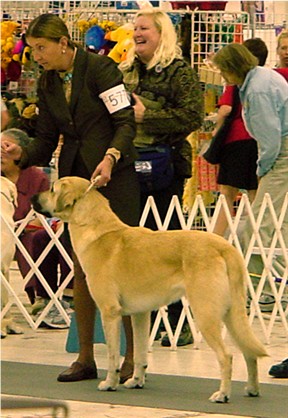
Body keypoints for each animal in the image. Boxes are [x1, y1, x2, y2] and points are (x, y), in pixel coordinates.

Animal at [32, 176, 268, 402]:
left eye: (52, 189)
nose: (33, 197)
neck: (95, 229)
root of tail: (225, 248)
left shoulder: (110, 312)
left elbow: (112, 355)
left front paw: (110, 383)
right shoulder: (140, 314)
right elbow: (140, 354)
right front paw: (136, 381)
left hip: (206, 314)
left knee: (226, 356)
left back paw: (222, 394)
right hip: (232, 314)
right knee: (249, 353)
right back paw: (253, 389)